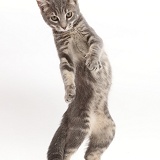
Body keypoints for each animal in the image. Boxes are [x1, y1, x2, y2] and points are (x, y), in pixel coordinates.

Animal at [36, 0, 115, 160]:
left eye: (69, 14)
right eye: (54, 18)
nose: (63, 26)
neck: (71, 32)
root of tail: (66, 116)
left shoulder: (94, 38)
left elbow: (95, 49)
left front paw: (93, 61)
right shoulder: (64, 57)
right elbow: (66, 75)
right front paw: (69, 93)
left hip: (107, 132)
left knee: (90, 155)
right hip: (79, 130)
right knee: (66, 153)